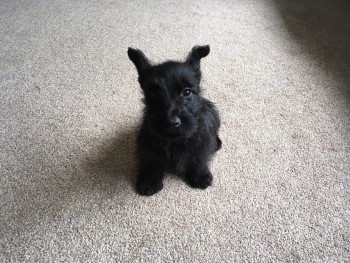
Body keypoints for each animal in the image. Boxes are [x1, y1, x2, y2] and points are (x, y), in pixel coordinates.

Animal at [128, 45, 221, 196]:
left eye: (187, 92)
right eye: (154, 94)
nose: (172, 122)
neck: (175, 141)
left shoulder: (201, 141)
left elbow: (198, 157)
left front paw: (200, 175)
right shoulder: (147, 144)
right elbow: (151, 161)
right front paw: (149, 181)